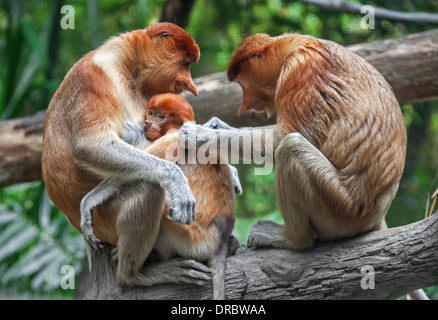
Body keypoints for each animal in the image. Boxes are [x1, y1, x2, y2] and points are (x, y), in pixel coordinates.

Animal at [40, 23, 214, 288]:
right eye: (185, 63)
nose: (188, 83)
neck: (127, 68)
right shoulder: (93, 77)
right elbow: (90, 144)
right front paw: (177, 180)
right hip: (106, 220)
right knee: (148, 188)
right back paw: (136, 275)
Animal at [80, 94, 234, 298]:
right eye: (151, 113)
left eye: (161, 117)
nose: (147, 122)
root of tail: (219, 240)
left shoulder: (173, 137)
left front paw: (88, 203)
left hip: (189, 240)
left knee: (151, 187)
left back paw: (132, 275)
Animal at [179, 32, 408, 251]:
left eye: (242, 84)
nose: (245, 106)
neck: (290, 48)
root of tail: (376, 215)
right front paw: (216, 125)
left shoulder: (302, 72)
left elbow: (284, 137)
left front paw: (197, 134)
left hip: (342, 209)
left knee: (291, 146)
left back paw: (292, 239)